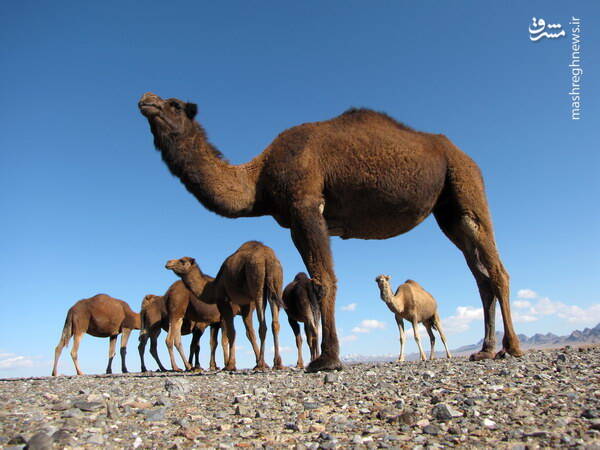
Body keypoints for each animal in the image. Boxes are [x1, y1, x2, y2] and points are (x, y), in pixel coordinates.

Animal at [165, 241, 284, 370]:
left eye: (182, 261)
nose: (168, 263)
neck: (213, 287)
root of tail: (267, 257)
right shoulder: (243, 305)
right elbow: (246, 334)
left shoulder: (224, 303)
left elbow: (231, 334)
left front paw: (230, 364)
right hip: (276, 283)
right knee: (274, 323)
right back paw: (277, 363)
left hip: (257, 281)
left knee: (263, 325)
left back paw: (262, 364)